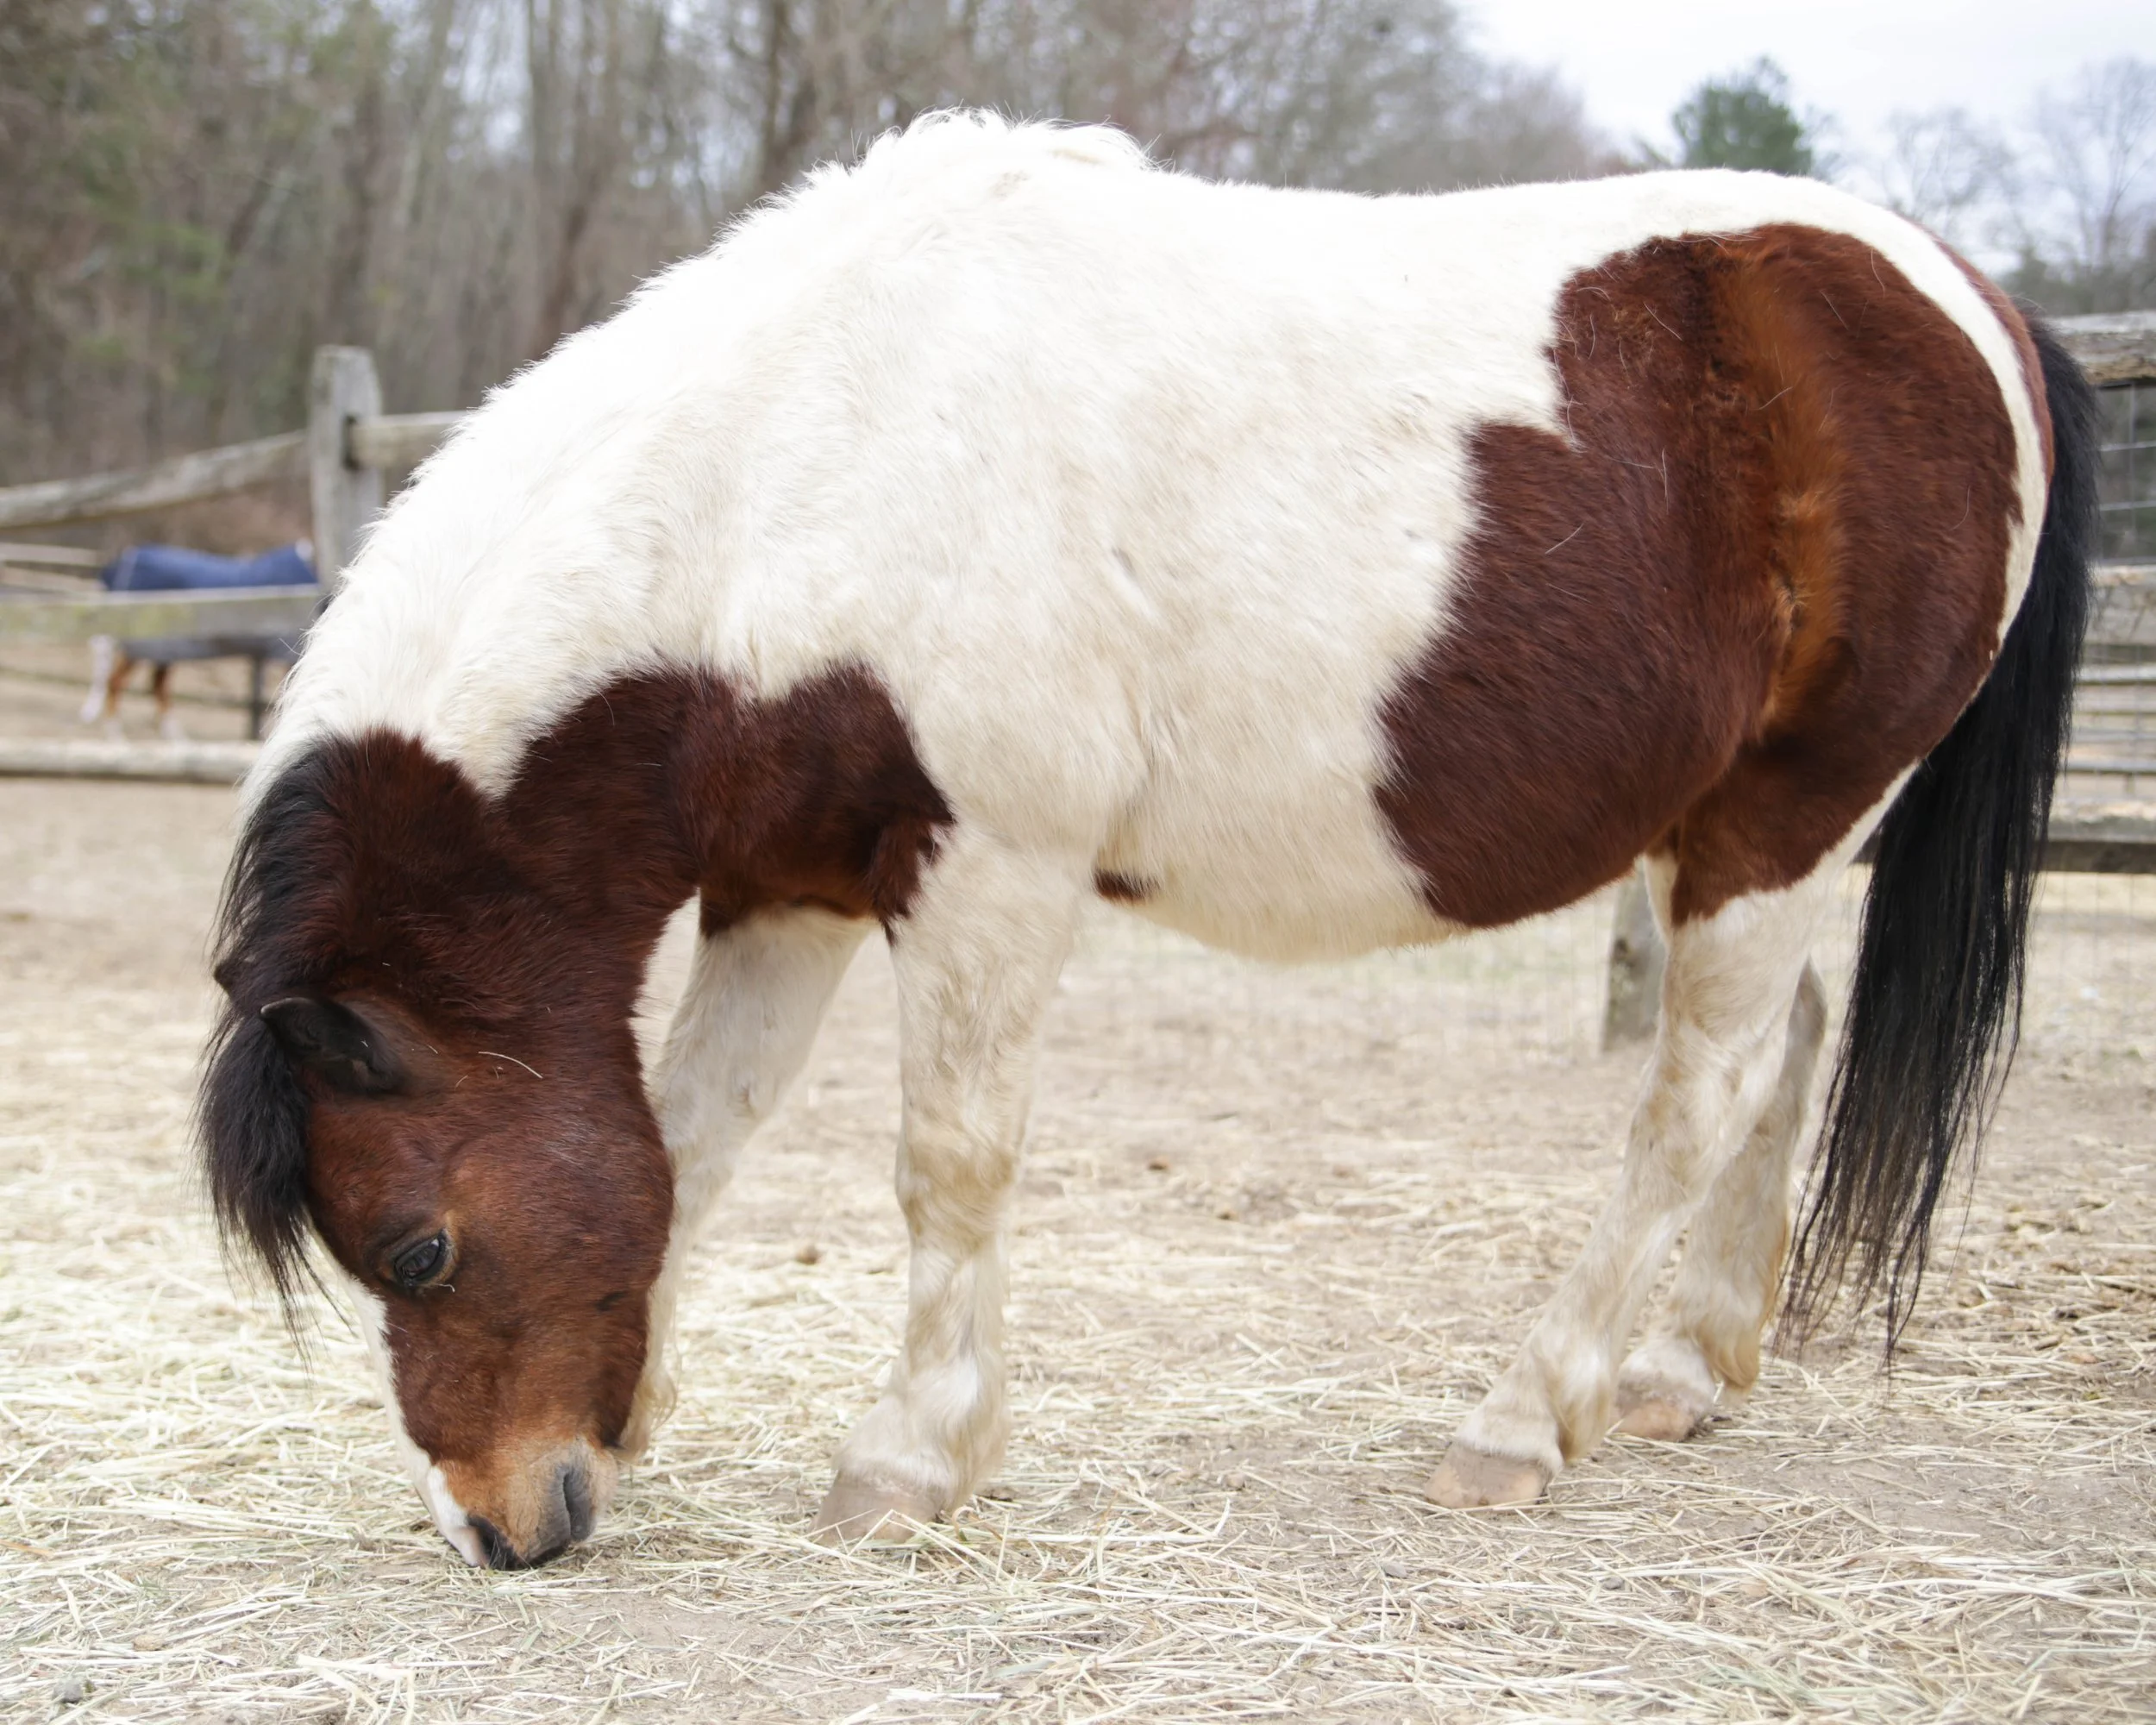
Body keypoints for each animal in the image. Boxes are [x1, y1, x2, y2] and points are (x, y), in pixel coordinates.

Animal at [199, 115, 2095, 1569]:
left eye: (420, 1248)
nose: (508, 1526)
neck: (803, 464)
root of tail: (1968, 297)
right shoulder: (785, 886)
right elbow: (690, 1136)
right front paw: (651, 1403)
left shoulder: (982, 871)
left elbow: (946, 1162)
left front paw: (910, 1461)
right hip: (1727, 833)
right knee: (1781, 1051)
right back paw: (1687, 1370)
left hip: (1785, 815)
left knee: (1693, 1097)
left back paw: (1520, 1418)